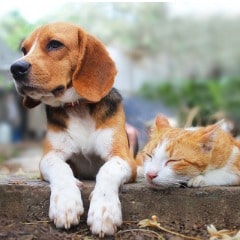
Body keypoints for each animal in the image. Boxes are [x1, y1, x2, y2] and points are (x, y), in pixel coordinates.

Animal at [9, 21, 137, 237]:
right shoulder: (50, 156)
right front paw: (66, 203)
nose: (15, 68)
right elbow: (60, 168)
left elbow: (108, 170)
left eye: (54, 44)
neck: (77, 107)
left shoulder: (124, 158)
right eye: (24, 50)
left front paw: (104, 210)